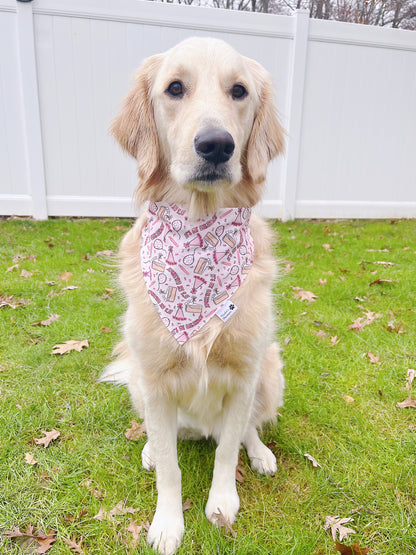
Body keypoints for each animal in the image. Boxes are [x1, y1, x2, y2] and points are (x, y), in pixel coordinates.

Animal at [103, 38, 286, 555]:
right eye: (175, 88)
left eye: (239, 91)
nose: (217, 145)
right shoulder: (155, 379)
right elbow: (170, 466)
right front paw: (168, 523)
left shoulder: (244, 374)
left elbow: (227, 450)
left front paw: (223, 503)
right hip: (139, 382)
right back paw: (149, 446)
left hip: (270, 371)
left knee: (246, 429)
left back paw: (260, 453)